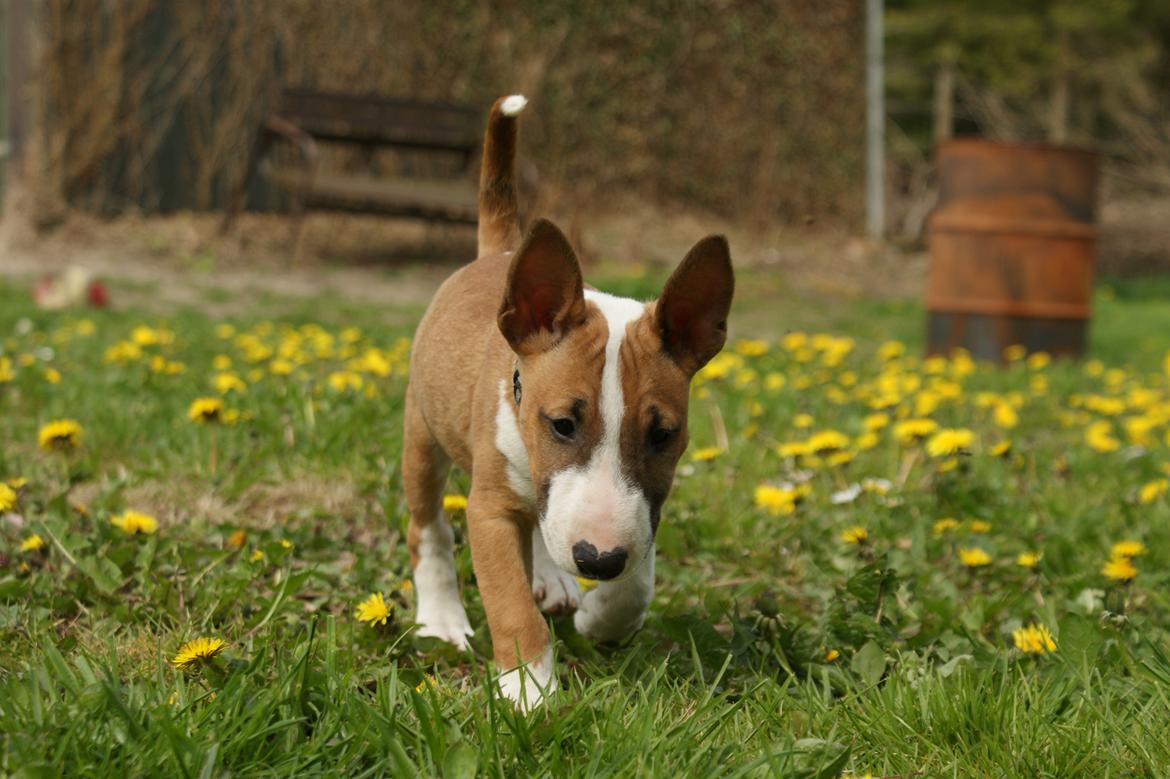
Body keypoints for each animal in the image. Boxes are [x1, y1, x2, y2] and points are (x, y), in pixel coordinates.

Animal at [404, 94, 730, 706]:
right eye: (560, 424)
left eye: (663, 434)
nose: (596, 560)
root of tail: (503, 250)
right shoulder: (489, 507)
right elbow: (509, 603)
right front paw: (530, 690)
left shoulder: (644, 506)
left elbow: (639, 573)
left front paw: (605, 619)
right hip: (422, 436)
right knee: (428, 528)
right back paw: (441, 617)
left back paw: (552, 582)